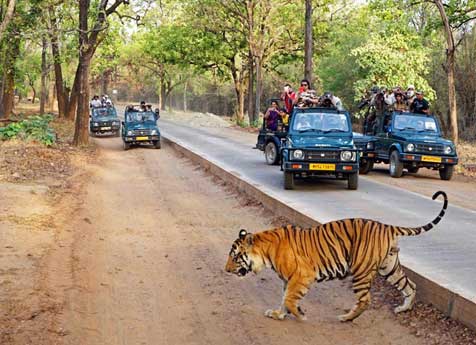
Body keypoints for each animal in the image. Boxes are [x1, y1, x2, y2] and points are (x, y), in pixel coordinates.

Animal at [224, 189, 446, 322]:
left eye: (235, 257)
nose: (226, 270)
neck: (265, 251)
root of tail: (387, 226)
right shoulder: (289, 279)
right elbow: (284, 298)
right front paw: (279, 314)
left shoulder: (302, 275)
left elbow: (289, 298)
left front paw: (299, 315)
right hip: (389, 267)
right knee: (410, 285)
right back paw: (403, 309)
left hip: (361, 270)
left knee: (365, 300)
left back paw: (346, 318)